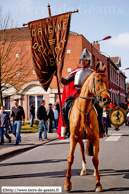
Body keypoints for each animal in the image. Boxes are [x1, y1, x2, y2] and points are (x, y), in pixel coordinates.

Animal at [64, 63, 110, 192]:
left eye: (108, 81)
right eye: (98, 80)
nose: (106, 100)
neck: (84, 111)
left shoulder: (95, 137)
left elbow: (95, 159)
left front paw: (98, 184)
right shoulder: (73, 137)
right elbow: (70, 158)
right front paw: (67, 183)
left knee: (95, 154)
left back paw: (94, 172)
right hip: (79, 138)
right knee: (81, 151)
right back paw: (84, 169)